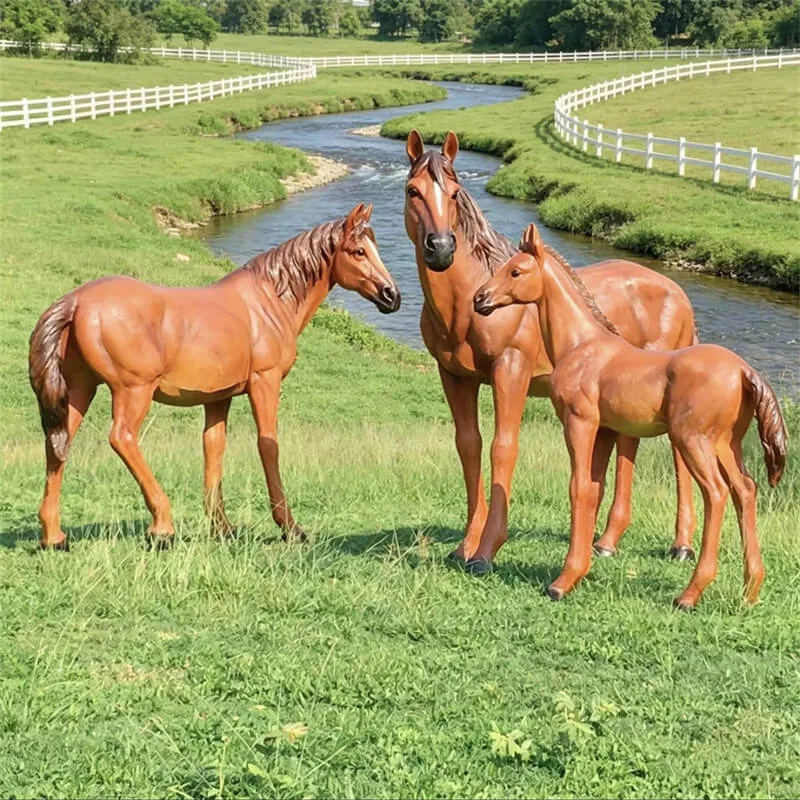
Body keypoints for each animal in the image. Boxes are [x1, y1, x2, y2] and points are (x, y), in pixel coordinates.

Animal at [29, 203, 400, 551]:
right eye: (358, 251)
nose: (392, 296)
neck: (268, 302)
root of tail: (76, 302)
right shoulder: (265, 383)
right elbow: (268, 446)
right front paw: (290, 528)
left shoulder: (218, 397)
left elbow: (214, 449)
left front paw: (222, 527)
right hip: (133, 390)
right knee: (122, 438)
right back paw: (161, 527)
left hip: (80, 389)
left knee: (58, 443)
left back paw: (53, 536)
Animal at [404, 129, 699, 574]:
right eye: (413, 190)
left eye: (454, 194)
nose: (440, 248)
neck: (465, 307)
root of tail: (678, 295)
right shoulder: (454, 377)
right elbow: (469, 446)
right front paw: (465, 546)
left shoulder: (511, 371)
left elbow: (503, 448)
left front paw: (487, 551)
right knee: (625, 447)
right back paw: (606, 541)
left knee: (677, 459)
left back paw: (681, 545)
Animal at [474, 223, 787, 608]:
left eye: (516, 271)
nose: (480, 299)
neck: (582, 346)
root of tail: (744, 370)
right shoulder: (605, 429)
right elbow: (594, 489)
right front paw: (583, 569)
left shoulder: (579, 423)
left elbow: (578, 488)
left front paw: (562, 582)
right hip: (727, 444)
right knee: (745, 489)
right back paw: (750, 589)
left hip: (693, 440)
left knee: (716, 493)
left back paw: (690, 593)